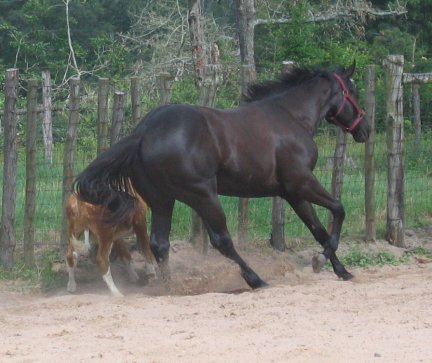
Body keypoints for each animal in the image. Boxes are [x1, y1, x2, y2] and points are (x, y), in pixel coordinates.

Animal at [72, 61, 370, 290]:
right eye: (352, 91)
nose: (364, 129)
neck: (290, 117)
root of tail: (144, 132)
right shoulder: (302, 182)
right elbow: (339, 209)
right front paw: (320, 261)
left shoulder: (292, 193)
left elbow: (318, 230)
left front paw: (342, 270)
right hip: (203, 195)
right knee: (221, 240)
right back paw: (255, 280)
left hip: (162, 200)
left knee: (160, 243)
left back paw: (170, 286)